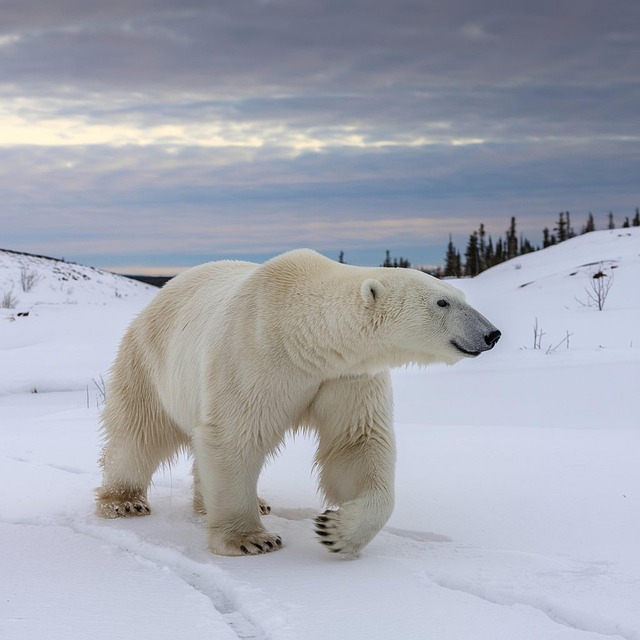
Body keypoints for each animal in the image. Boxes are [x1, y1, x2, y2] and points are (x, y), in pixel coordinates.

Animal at [96, 249, 500, 556]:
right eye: (442, 302)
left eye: (462, 298)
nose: (491, 333)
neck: (303, 336)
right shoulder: (254, 355)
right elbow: (234, 436)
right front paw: (250, 540)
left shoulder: (345, 377)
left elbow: (356, 444)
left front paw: (336, 530)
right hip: (149, 361)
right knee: (138, 435)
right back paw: (123, 501)